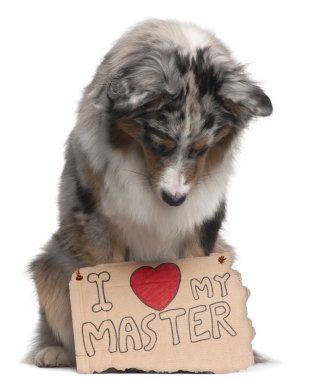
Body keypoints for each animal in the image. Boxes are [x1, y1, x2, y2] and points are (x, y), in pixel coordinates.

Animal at [29, 19, 272, 366]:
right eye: (160, 144)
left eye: (201, 150)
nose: (175, 199)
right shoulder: (99, 220)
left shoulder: (203, 224)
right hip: (49, 265)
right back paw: (56, 352)